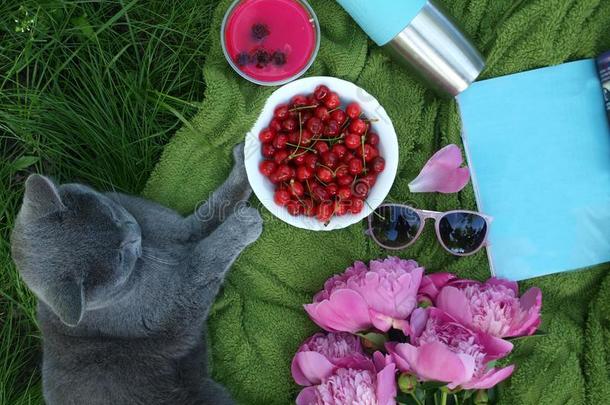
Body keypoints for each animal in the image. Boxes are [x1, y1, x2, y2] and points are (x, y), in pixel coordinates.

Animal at [10, 144, 262, 402]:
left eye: (112, 216)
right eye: (119, 258)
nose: (134, 234)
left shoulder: (182, 230)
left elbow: (216, 207)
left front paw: (245, 161)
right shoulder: (175, 305)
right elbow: (204, 260)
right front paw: (243, 223)